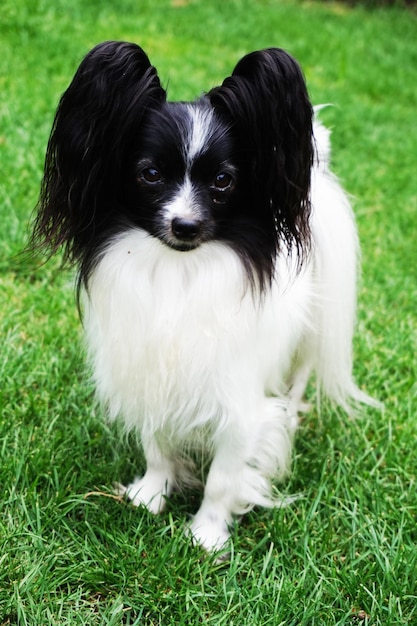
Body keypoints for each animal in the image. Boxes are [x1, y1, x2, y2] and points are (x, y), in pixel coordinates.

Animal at [32, 42, 376, 552]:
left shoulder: (238, 402)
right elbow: (156, 444)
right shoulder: (152, 370)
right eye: (150, 174)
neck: (180, 272)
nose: (185, 226)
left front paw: (207, 535)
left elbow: (224, 476)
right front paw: (151, 495)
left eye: (223, 181)